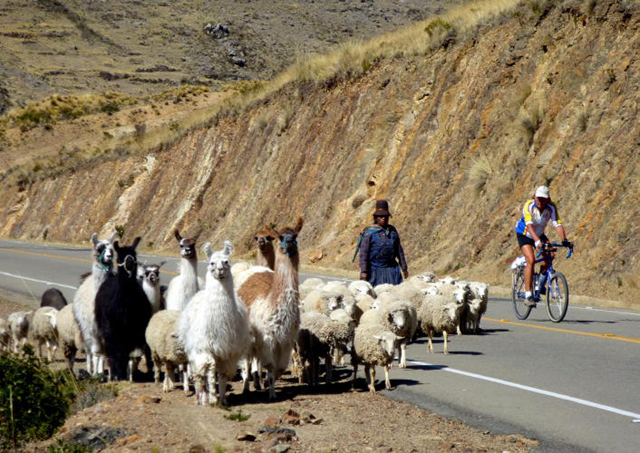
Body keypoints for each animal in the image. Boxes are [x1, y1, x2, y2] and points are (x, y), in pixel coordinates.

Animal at [73, 230, 117, 374]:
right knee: (89, 351)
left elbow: (105, 353)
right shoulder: (92, 329)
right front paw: (95, 374)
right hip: (84, 328)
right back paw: (89, 369)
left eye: (112, 249)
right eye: (99, 248)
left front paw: (103, 372)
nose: (109, 256)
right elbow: (96, 353)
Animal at [94, 237, 152, 382]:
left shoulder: (132, 329)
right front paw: (117, 374)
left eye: (134, 255)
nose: (129, 262)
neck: (124, 308)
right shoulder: (113, 329)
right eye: (119, 256)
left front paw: (122, 375)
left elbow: (124, 352)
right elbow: (116, 352)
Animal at [181, 240, 251, 406]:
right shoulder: (206, 348)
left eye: (226, 261)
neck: (220, 325)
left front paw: (223, 399)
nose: (219, 270)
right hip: (194, 349)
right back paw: (200, 397)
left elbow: (223, 376)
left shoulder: (227, 352)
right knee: (199, 374)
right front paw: (213, 399)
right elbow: (211, 373)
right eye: (212, 262)